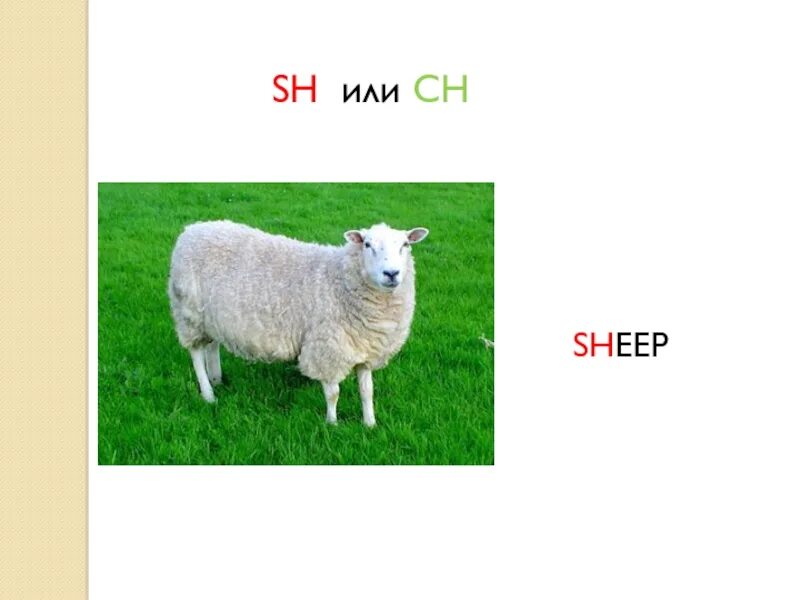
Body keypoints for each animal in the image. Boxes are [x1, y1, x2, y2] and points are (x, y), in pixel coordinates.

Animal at [167, 220, 429, 427]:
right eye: (367, 244)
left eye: (405, 245)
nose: (391, 273)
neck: (340, 280)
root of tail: (191, 230)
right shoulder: (327, 348)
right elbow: (333, 393)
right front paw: (332, 424)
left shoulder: (363, 347)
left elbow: (367, 392)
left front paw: (370, 424)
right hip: (189, 313)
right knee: (196, 353)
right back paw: (208, 393)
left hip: (210, 317)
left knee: (212, 346)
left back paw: (217, 379)